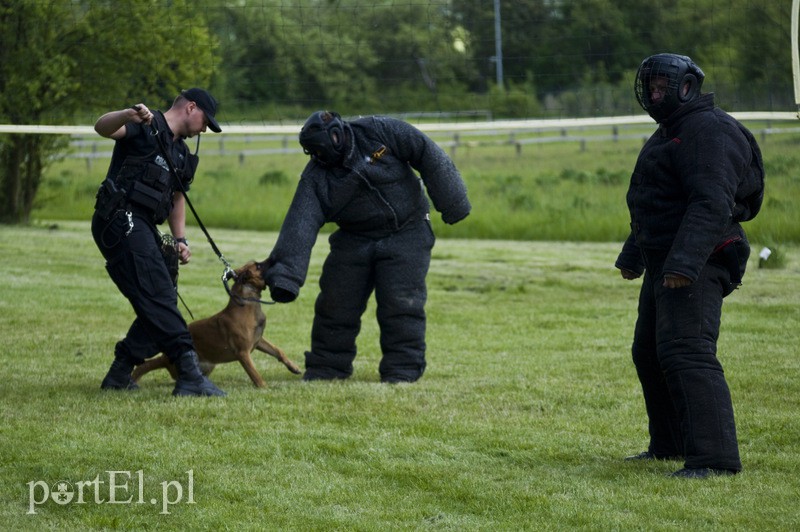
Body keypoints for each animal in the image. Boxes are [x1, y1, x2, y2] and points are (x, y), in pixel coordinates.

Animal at [131, 260, 300, 386]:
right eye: (258, 265)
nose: (274, 259)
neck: (247, 304)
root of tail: (165, 357)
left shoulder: (259, 341)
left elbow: (278, 351)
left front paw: (293, 367)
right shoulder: (243, 353)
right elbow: (255, 374)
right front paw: (265, 388)